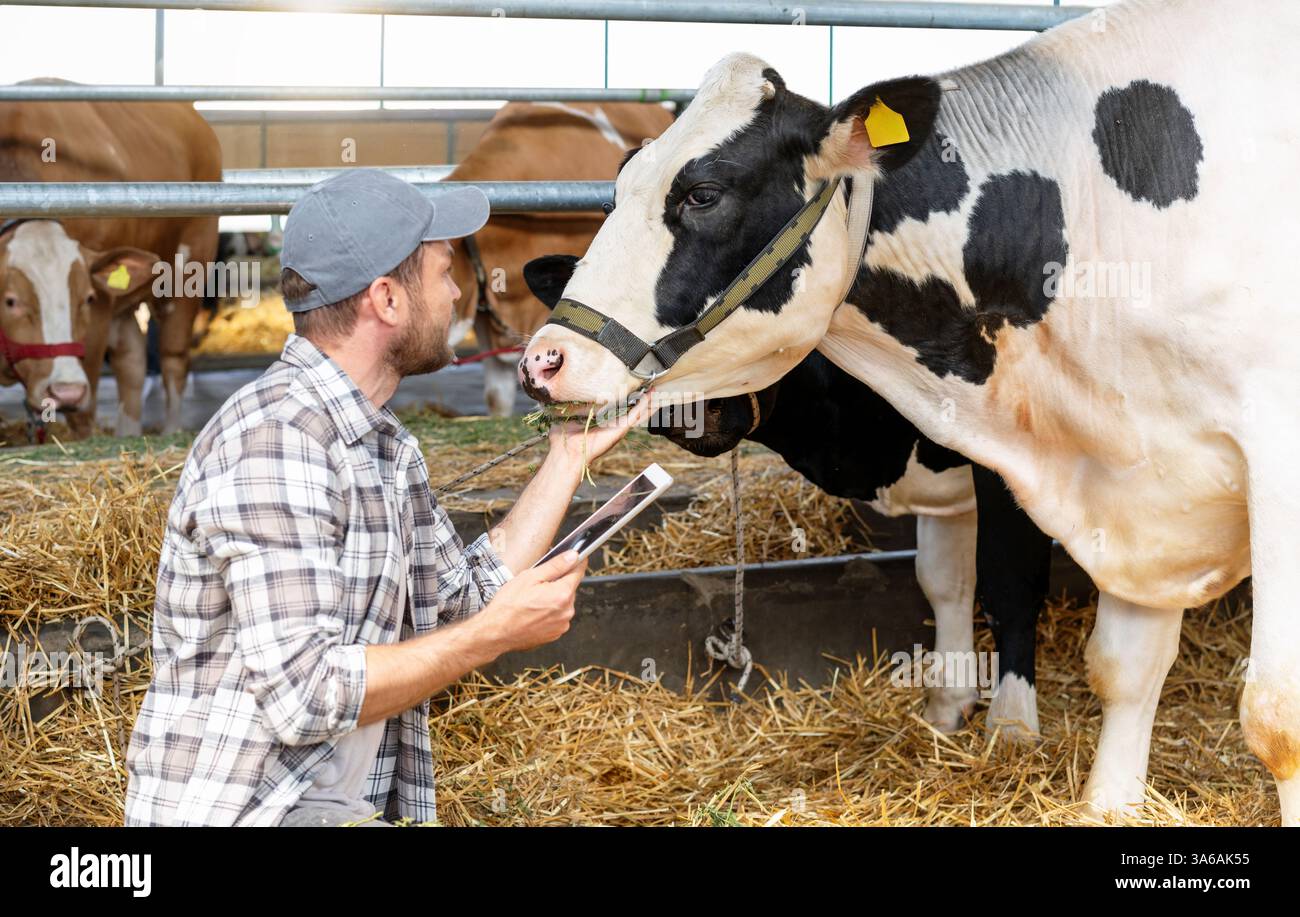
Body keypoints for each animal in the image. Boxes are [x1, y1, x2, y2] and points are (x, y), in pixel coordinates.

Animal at [0, 79, 222, 438]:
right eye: (10, 301)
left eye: (87, 298)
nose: (65, 391)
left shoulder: (98, 317)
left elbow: (84, 415)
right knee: (131, 361)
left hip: (190, 265)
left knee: (173, 359)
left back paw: (172, 430)